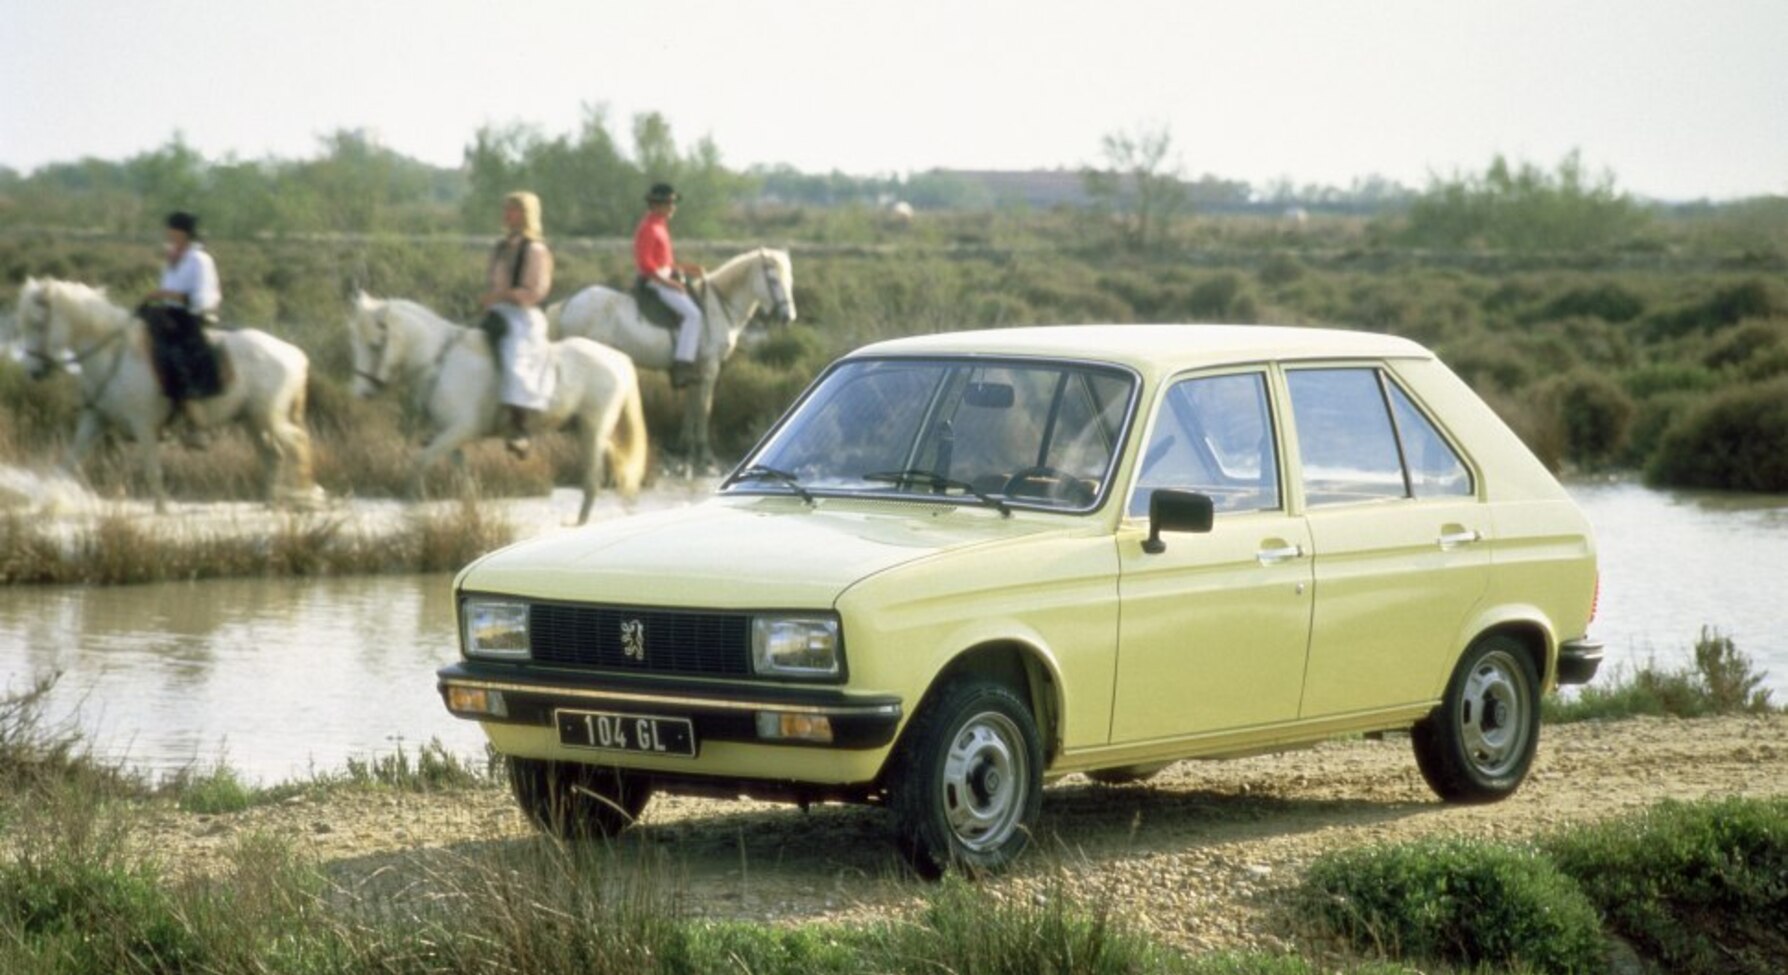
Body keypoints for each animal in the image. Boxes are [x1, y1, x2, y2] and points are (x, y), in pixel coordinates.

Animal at [14, 275, 321, 508]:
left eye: (38, 323)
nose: (33, 370)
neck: (114, 353)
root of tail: (297, 355)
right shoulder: (95, 420)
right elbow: (66, 464)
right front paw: (45, 499)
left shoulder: (144, 426)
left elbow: (152, 471)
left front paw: (162, 509)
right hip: (253, 421)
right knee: (272, 455)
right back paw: (269, 501)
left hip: (269, 418)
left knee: (298, 443)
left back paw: (305, 493)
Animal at [345, 293, 647, 525]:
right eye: (355, 342)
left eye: (375, 345)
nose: (362, 392)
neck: (440, 362)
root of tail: (619, 359)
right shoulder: (451, 437)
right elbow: (464, 479)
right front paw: (468, 514)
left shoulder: (459, 430)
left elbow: (420, 462)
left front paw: (412, 507)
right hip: (586, 429)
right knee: (615, 462)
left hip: (593, 430)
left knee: (593, 480)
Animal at [543, 243, 797, 472]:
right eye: (773, 280)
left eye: (790, 280)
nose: (788, 316)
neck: (717, 309)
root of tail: (568, 303)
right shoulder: (710, 369)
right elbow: (704, 409)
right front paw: (706, 455)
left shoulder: (697, 373)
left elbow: (691, 408)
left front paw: (685, 447)